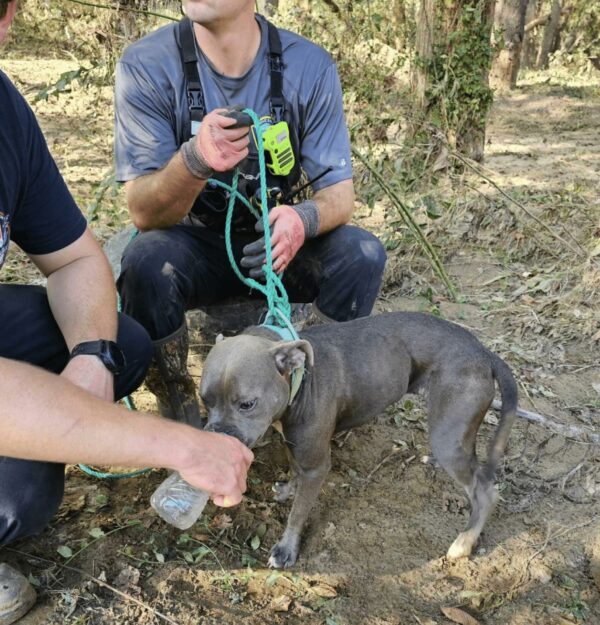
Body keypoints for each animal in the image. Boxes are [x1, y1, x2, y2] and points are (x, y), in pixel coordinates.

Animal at [200, 310, 516, 568]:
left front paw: (286, 549)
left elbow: (298, 513)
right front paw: (288, 489)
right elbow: (294, 470)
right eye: (205, 400)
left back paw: (465, 541)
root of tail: (483, 352)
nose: (217, 435)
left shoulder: (317, 466)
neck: (299, 380)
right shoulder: (298, 448)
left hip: (447, 435)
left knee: (486, 491)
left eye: (247, 404)